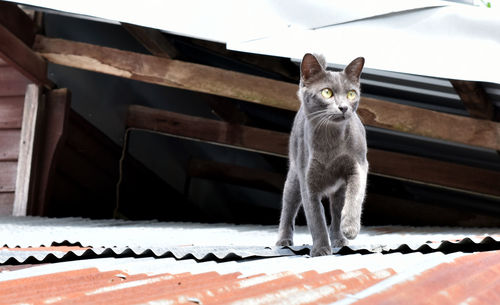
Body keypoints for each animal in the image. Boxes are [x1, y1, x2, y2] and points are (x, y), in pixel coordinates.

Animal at [278, 53, 368, 255]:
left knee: (336, 211)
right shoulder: (307, 181)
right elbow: (315, 218)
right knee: (288, 207)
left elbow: (355, 195)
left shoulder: (359, 165)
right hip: (294, 176)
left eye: (351, 94)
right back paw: (283, 240)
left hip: (339, 189)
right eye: (327, 92)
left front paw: (350, 228)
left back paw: (340, 239)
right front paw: (320, 250)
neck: (330, 143)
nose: (343, 107)